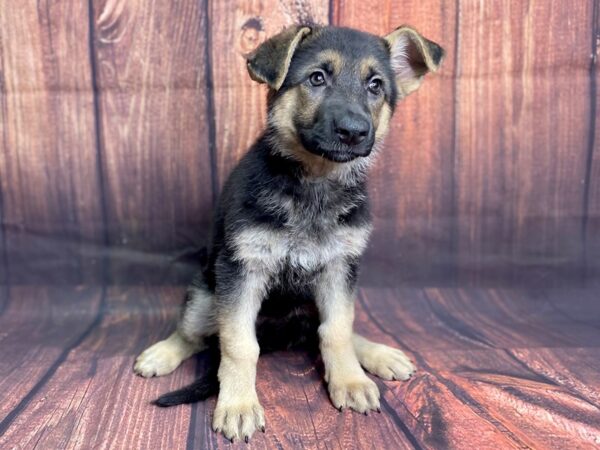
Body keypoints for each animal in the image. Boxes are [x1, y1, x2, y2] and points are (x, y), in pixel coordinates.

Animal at [134, 22, 440, 442]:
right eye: (317, 78)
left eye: (375, 85)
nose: (354, 132)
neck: (314, 183)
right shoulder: (242, 270)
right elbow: (239, 343)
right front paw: (238, 404)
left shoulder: (340, 270)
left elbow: (338, 330)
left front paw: (350, 381)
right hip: (204, 293)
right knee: (193, 334)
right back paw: (163, 353)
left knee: (332, 329)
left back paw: (376, 354)